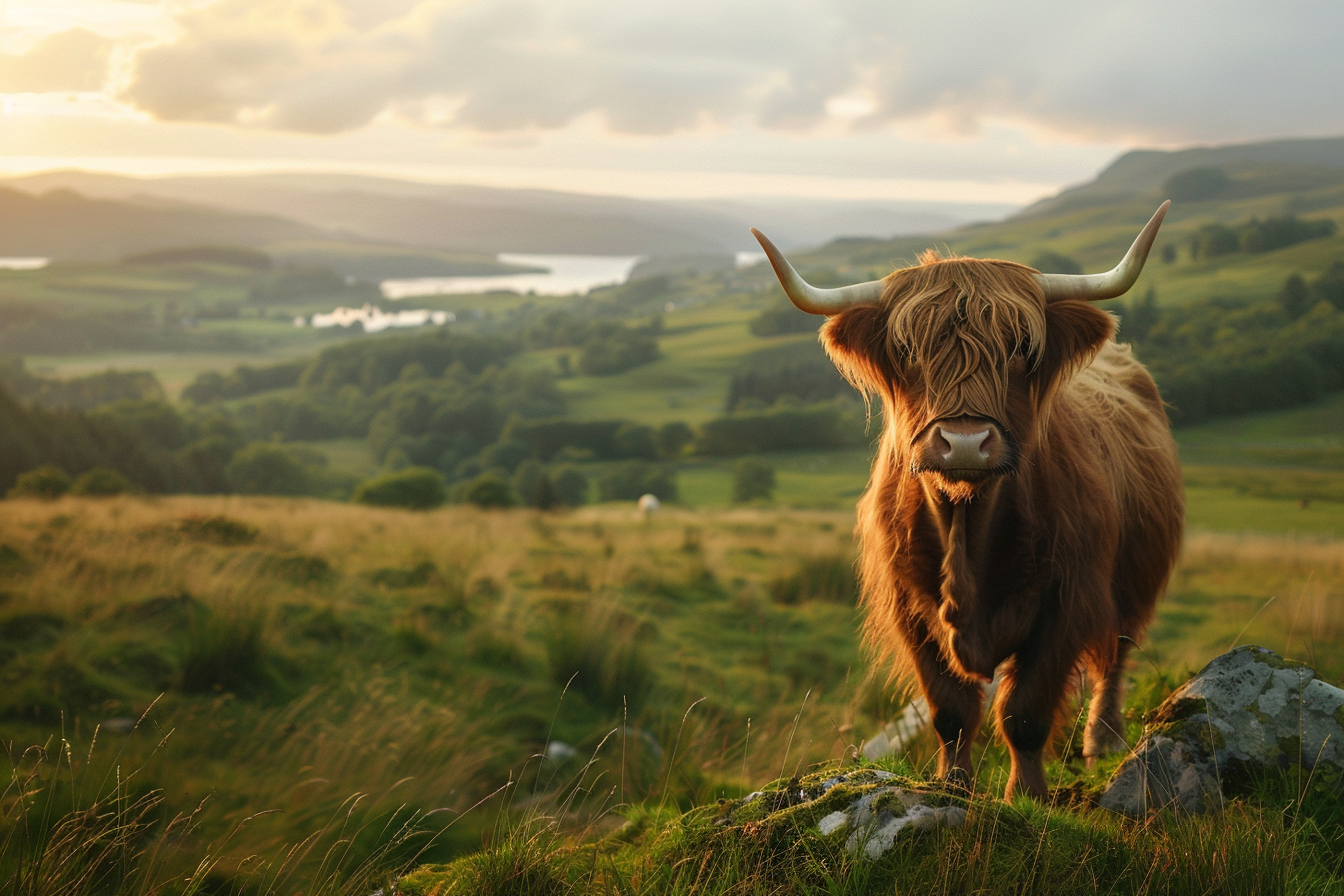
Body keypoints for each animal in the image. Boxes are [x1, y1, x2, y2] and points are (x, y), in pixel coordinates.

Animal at [751, 204, 1183, 800]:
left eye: (1022, 348)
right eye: (908, 350)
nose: (963, 442)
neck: (967, 519)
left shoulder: (1066, 600)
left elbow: (1025, 711)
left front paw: (1026, 794)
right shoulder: (909, 608)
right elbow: (951, 710)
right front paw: (953, 786)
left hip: (1133, 580)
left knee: (1115, 655)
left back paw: (1104, 741)